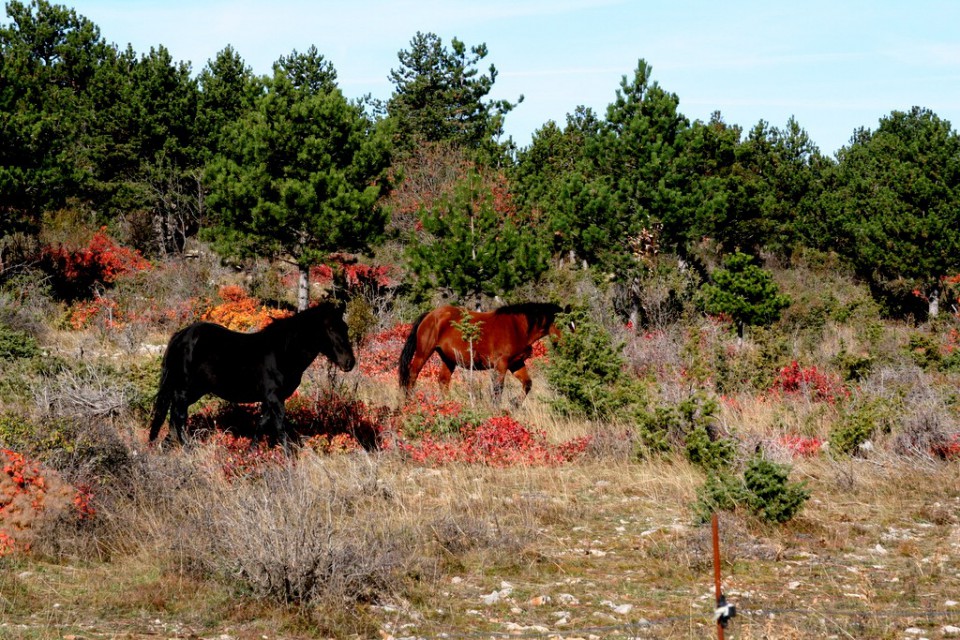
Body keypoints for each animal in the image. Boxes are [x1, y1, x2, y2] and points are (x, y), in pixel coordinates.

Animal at [150, 302, 356, 448]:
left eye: (345, 327)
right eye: (330, 328)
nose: (349, 362)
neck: (282, 352)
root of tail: (181, 335)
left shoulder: (271, 399)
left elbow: (262, 425)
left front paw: (252, 452)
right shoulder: (274, 398)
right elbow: (280, 427)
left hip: (195, 389)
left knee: (174, 415)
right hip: (185, 388)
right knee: (178, 415)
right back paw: (186, 448)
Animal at [396, 302, 564, 402]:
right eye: (563, 323)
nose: (565, 347)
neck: (518, 327)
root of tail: (430, 315)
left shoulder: (516, 363)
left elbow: (527, 384)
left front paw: (514, 403)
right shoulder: (501, 364)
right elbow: (497, 389)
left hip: (448, 359)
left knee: (443, 381)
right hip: (423, 352)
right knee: (412, 375)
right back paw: (409, 401)